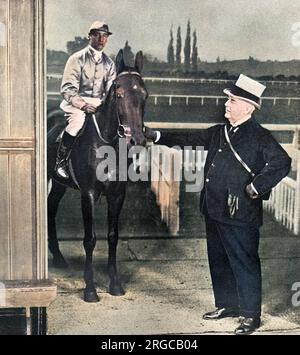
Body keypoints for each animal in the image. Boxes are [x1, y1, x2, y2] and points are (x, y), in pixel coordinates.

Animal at [47, 49, 155, 304]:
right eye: (119, 93)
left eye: (144, 94)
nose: (137, 139)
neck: (107, 143)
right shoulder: (88, 194)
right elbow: (90, 239)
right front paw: (90, 289)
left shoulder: (117, 195)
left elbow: (113, 236)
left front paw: (114, 284)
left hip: (58, 184)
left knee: (51, 208)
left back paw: (58, 257)